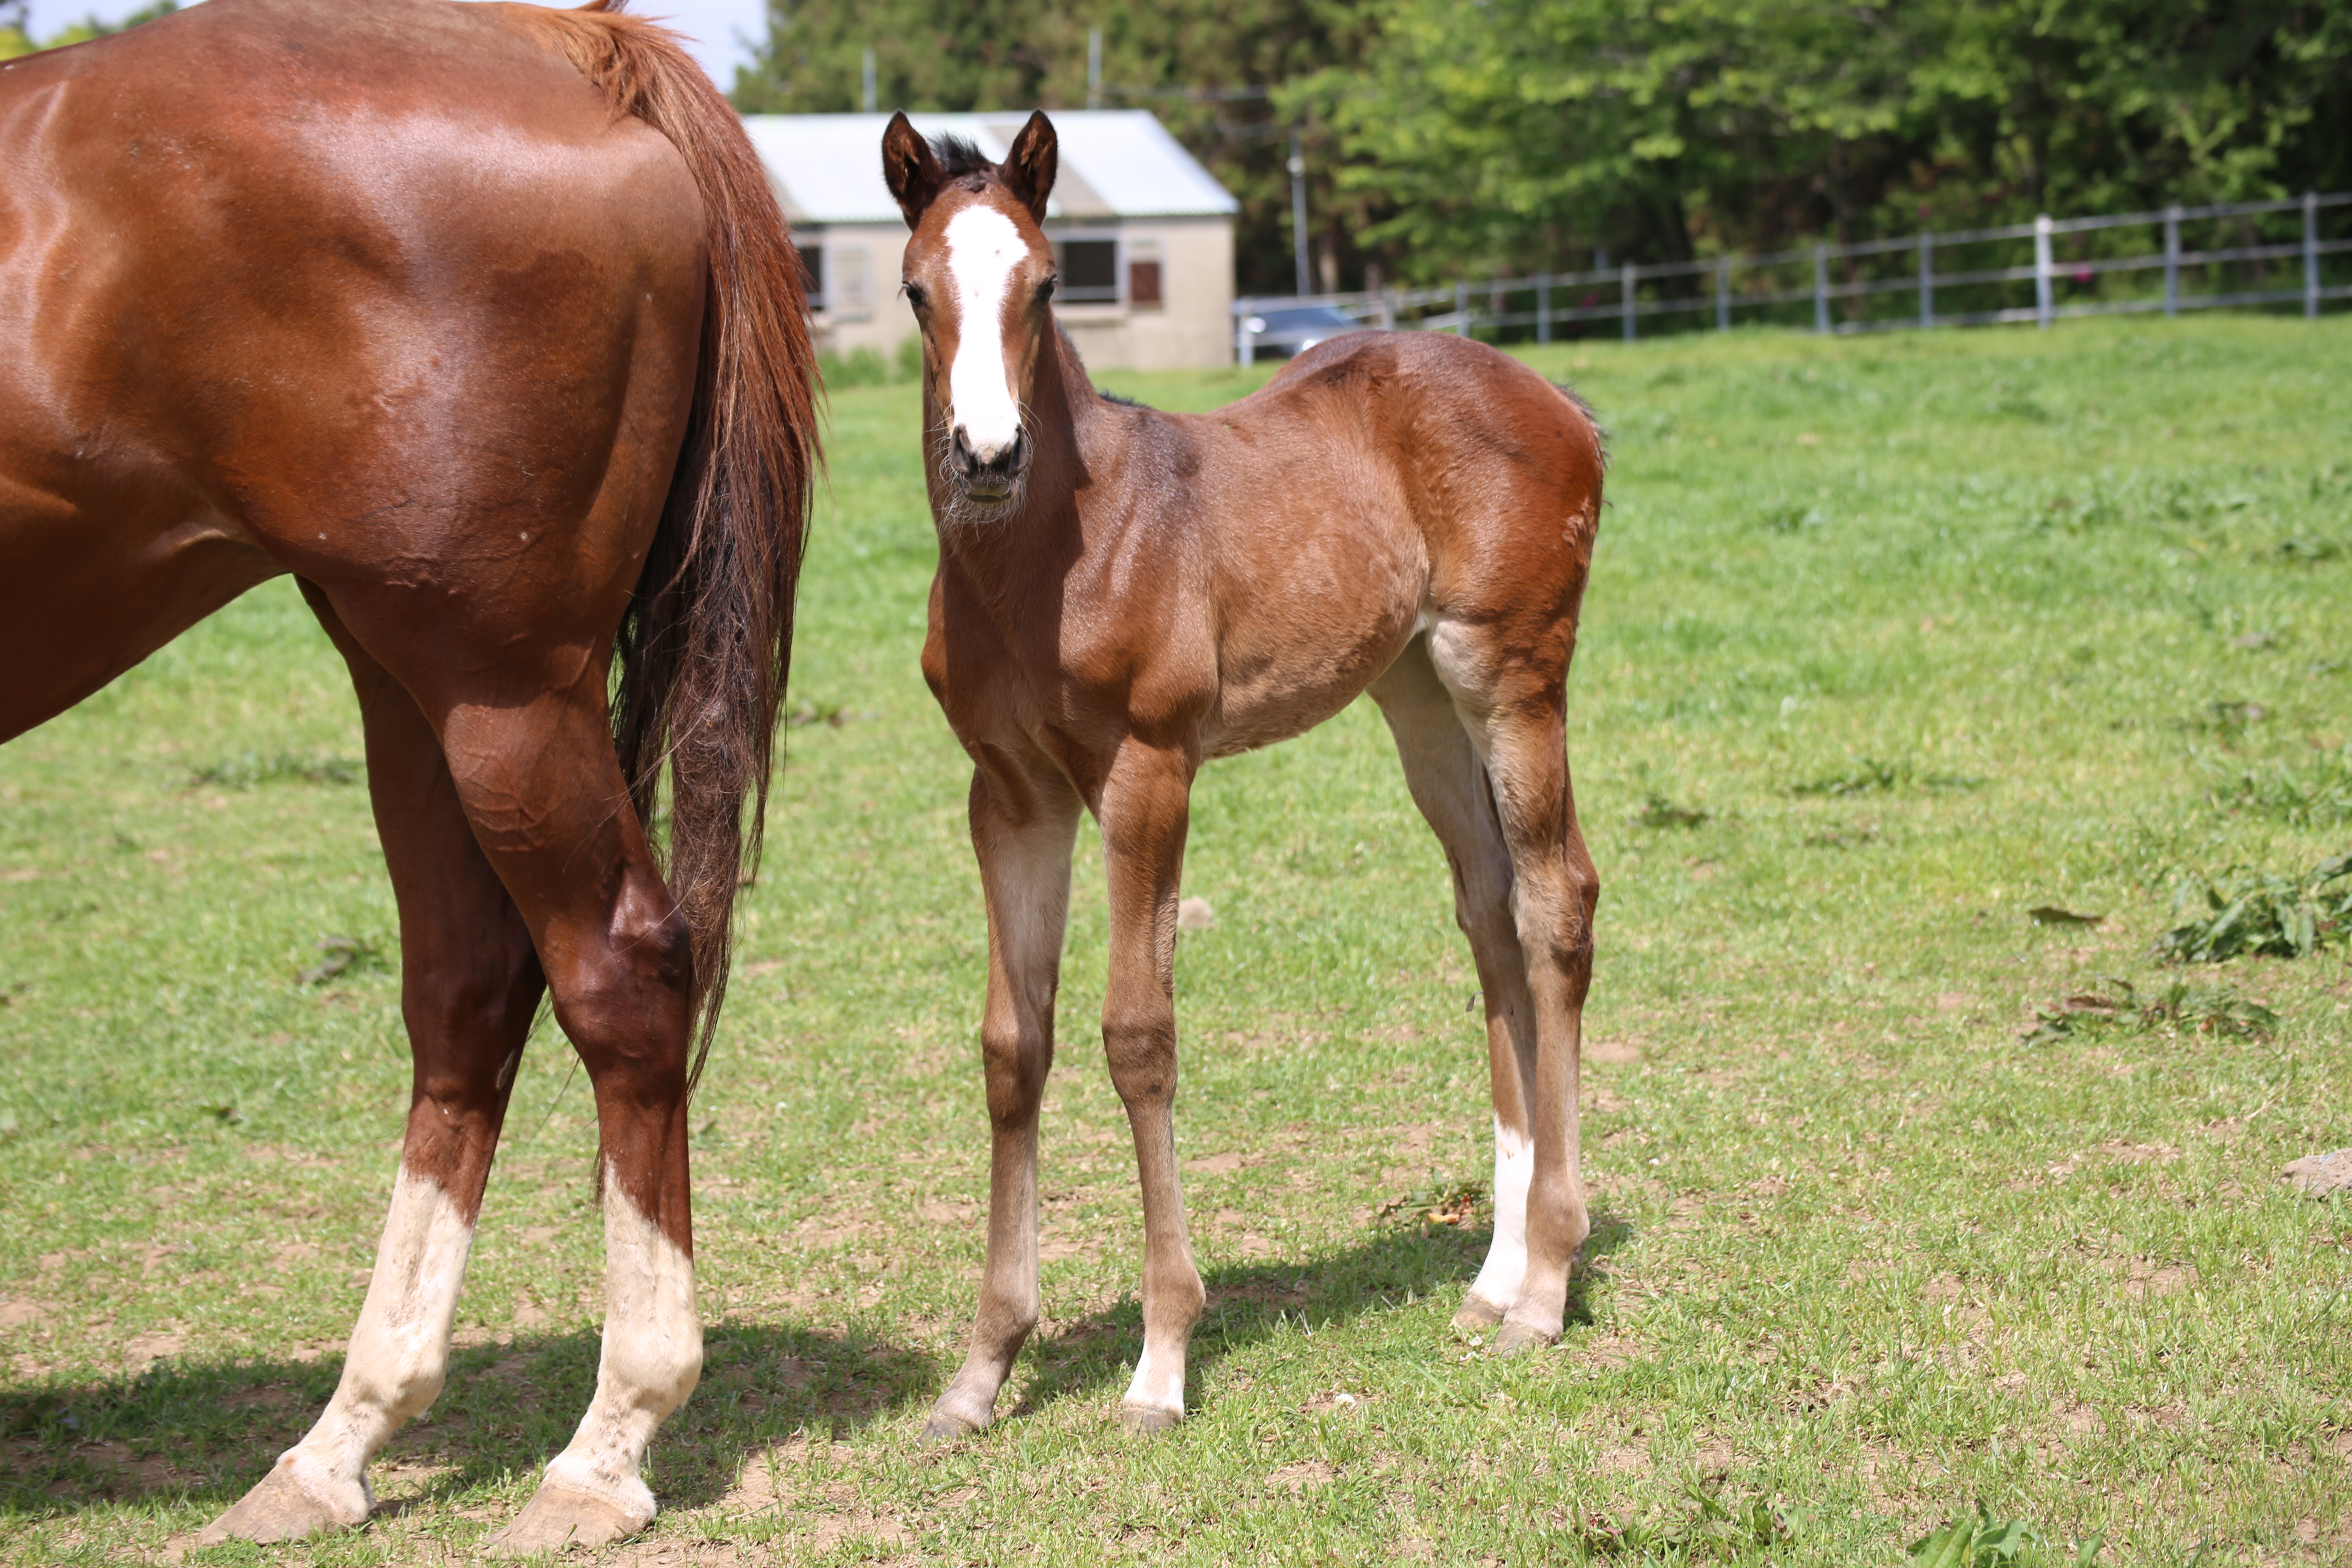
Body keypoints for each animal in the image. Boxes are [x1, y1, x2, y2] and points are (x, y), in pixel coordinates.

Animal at [0, 0, 818, 1542]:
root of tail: (561, 46)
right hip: (409, 682)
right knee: (467, 993)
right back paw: (338, 1443)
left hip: (494, 688)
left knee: (616, 974)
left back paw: (605, 1445)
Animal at [884, 107, 1618, 1439]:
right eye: (918, 289)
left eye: (1048, 281)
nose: (989, 452)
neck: (1050, 555)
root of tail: (1559, 399)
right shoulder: (1009, 792)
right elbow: (1014, 1045)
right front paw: (980, 1370)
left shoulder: (1148, 771)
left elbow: (1137, 1033)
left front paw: (1161, 1359)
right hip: (1418, 698)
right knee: (1487, 909)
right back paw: (1492, 1275)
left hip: (1512, 674)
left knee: (1556, 903)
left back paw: (1545, 1284)